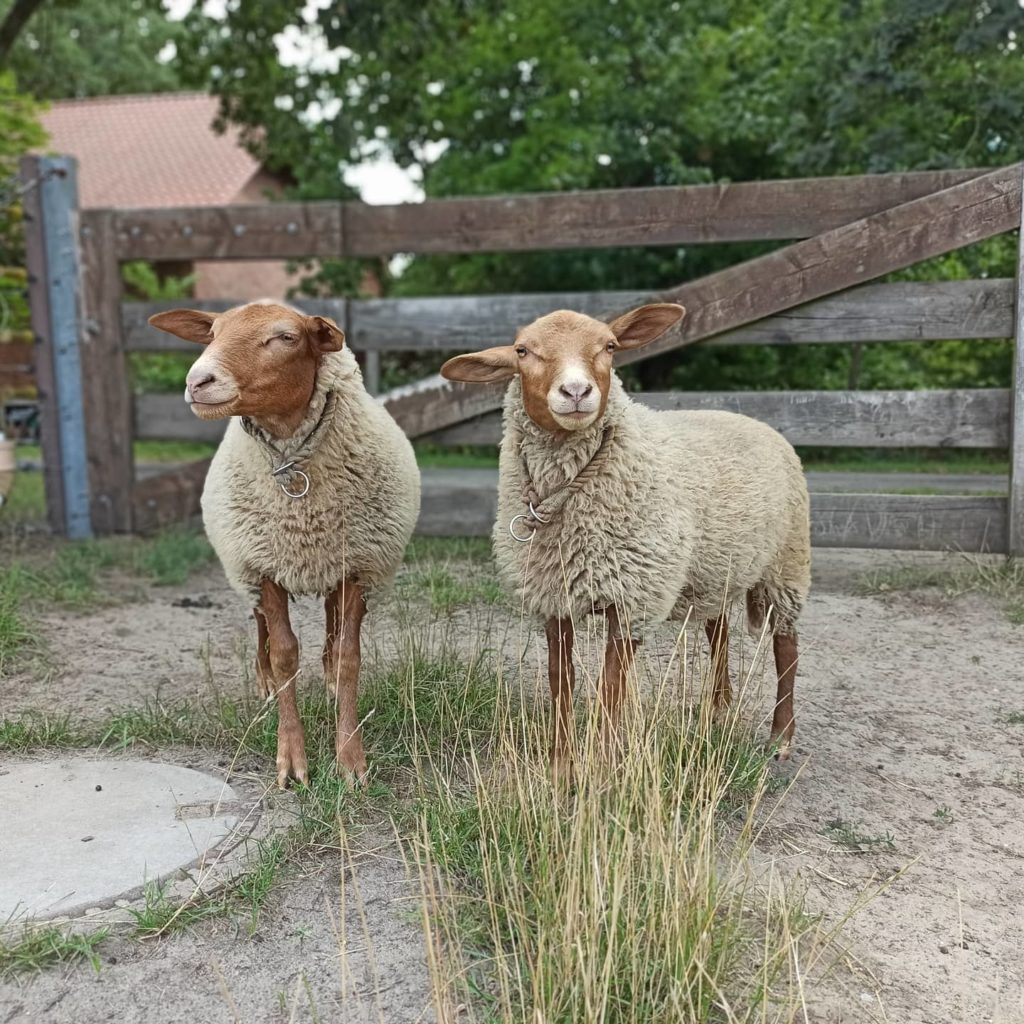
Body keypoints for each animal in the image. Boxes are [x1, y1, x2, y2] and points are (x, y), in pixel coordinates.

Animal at [444, 303, 811, 770]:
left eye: (610, 346)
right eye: (523, 351)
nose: (576, 391)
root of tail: (752, 419)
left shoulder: (632, 598)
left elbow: (610, 689)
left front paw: (600, 765)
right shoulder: (555, 596)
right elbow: (561, 680)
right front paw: (561, 764)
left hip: (787, 563)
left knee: (787, 647)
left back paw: (781, 736)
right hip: (716, 567)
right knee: (719, 633)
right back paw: (717, 709)